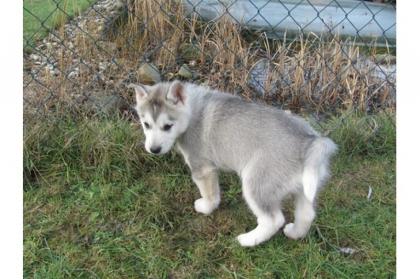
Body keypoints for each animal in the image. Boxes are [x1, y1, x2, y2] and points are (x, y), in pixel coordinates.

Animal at [130, 81, 336, 247]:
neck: (192, 110)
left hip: (256, 184)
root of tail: (309, 142)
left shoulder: (202, 168)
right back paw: (294, 233)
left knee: (273, 220)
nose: (154, 149)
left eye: (167, 126)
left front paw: (206, 207)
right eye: (146, 124)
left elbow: (210, 194)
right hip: (305, 188)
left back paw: (247, 240)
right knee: (306, 214)